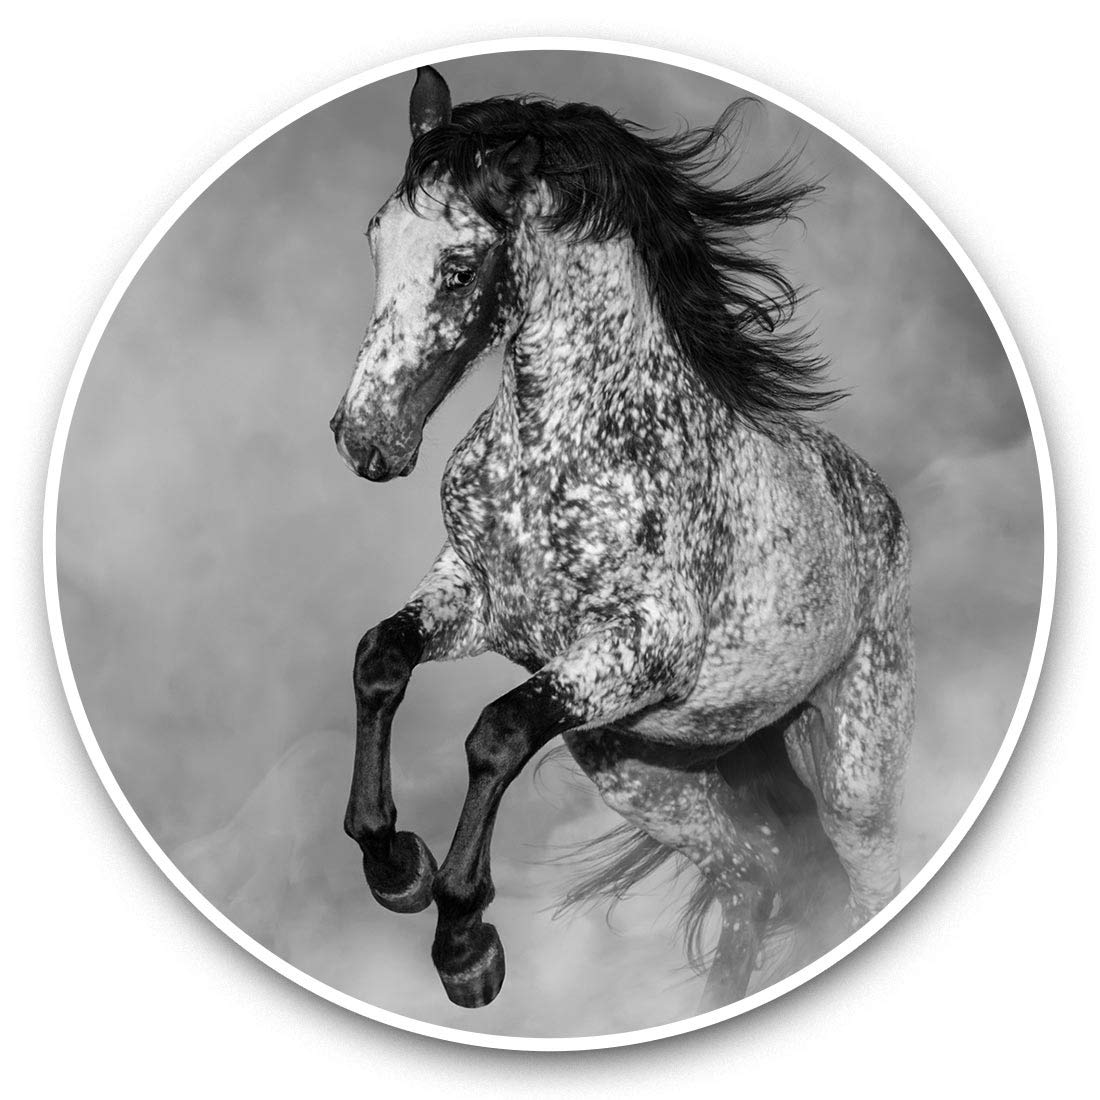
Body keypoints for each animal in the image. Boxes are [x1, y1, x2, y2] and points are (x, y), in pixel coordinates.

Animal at [329, 65, 914, 1012]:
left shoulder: (643, 646)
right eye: (377, 239)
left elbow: (495, 733)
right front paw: (394, 867)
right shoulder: (478, 601)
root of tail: (881, 510)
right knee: (759, 876)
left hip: (853, 776)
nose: (364, 438)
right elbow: (380, 658)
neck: (564, 451)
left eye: (459, 267)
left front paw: (464, 944)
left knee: (857, 886)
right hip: (643, 769)